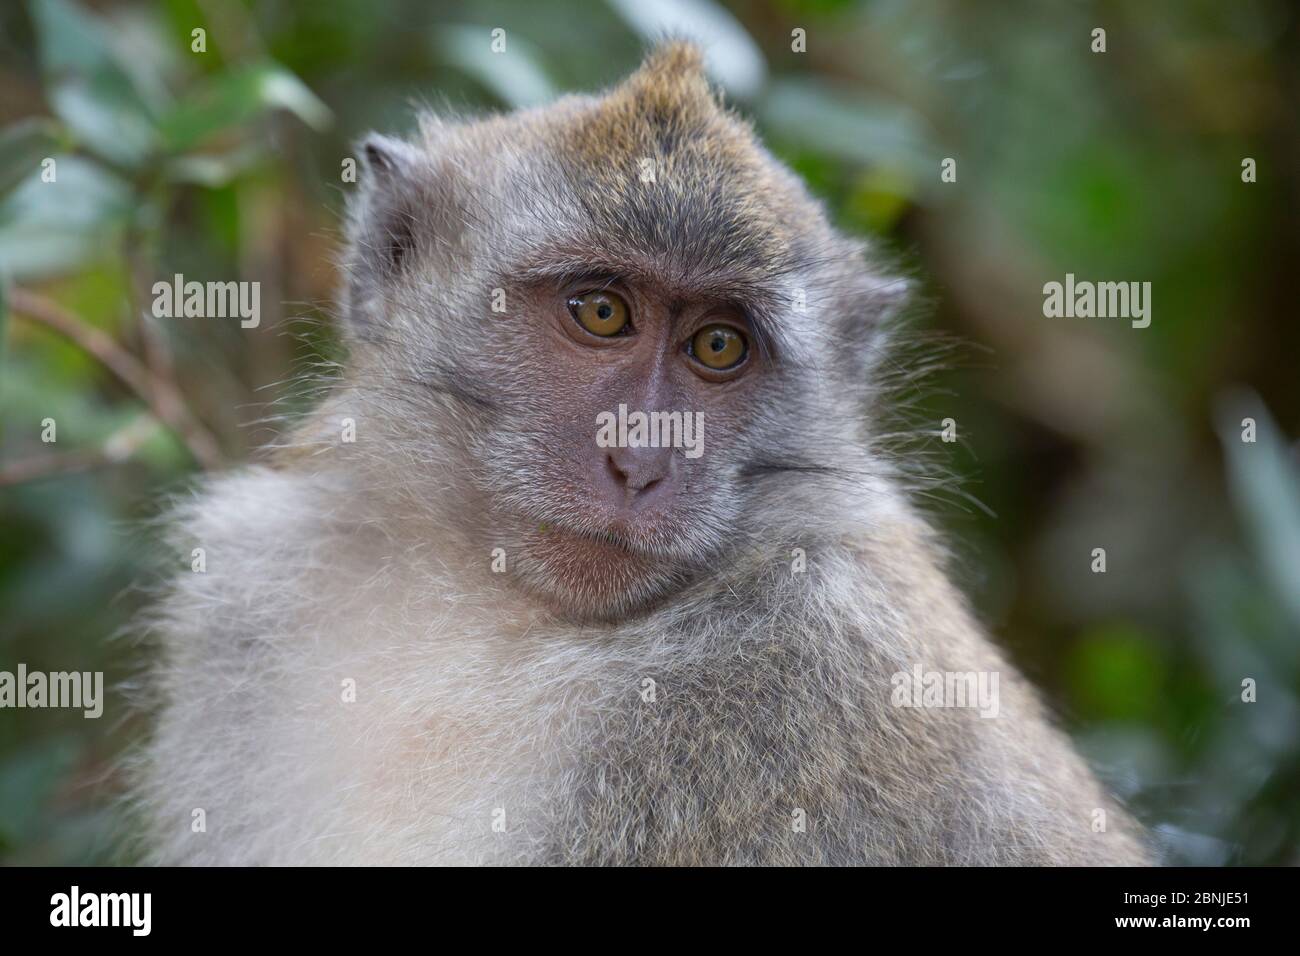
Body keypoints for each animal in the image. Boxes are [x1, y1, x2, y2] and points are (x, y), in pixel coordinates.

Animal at [129, 42, 1151, 866]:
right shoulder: (253, 584)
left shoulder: (802, 671)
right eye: (602, 311)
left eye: (719, 346)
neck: (503, 612)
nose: (640, 463)